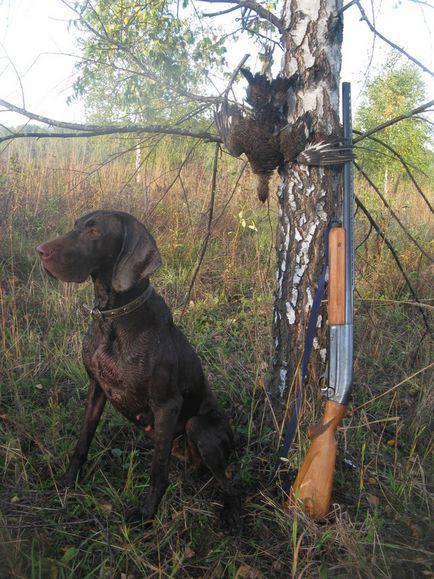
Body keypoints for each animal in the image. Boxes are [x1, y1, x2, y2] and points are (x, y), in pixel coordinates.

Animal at [36, 211, 241, 528]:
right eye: (75, 226)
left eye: (94, 231)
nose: (40, 252)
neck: (113, 318)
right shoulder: (97, 387)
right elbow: (83, 440)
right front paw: (69, 480)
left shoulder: (167, 404)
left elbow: (158, 472)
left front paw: (146, 513)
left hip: (198, 428)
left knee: (227, 481)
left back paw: (229, 511)